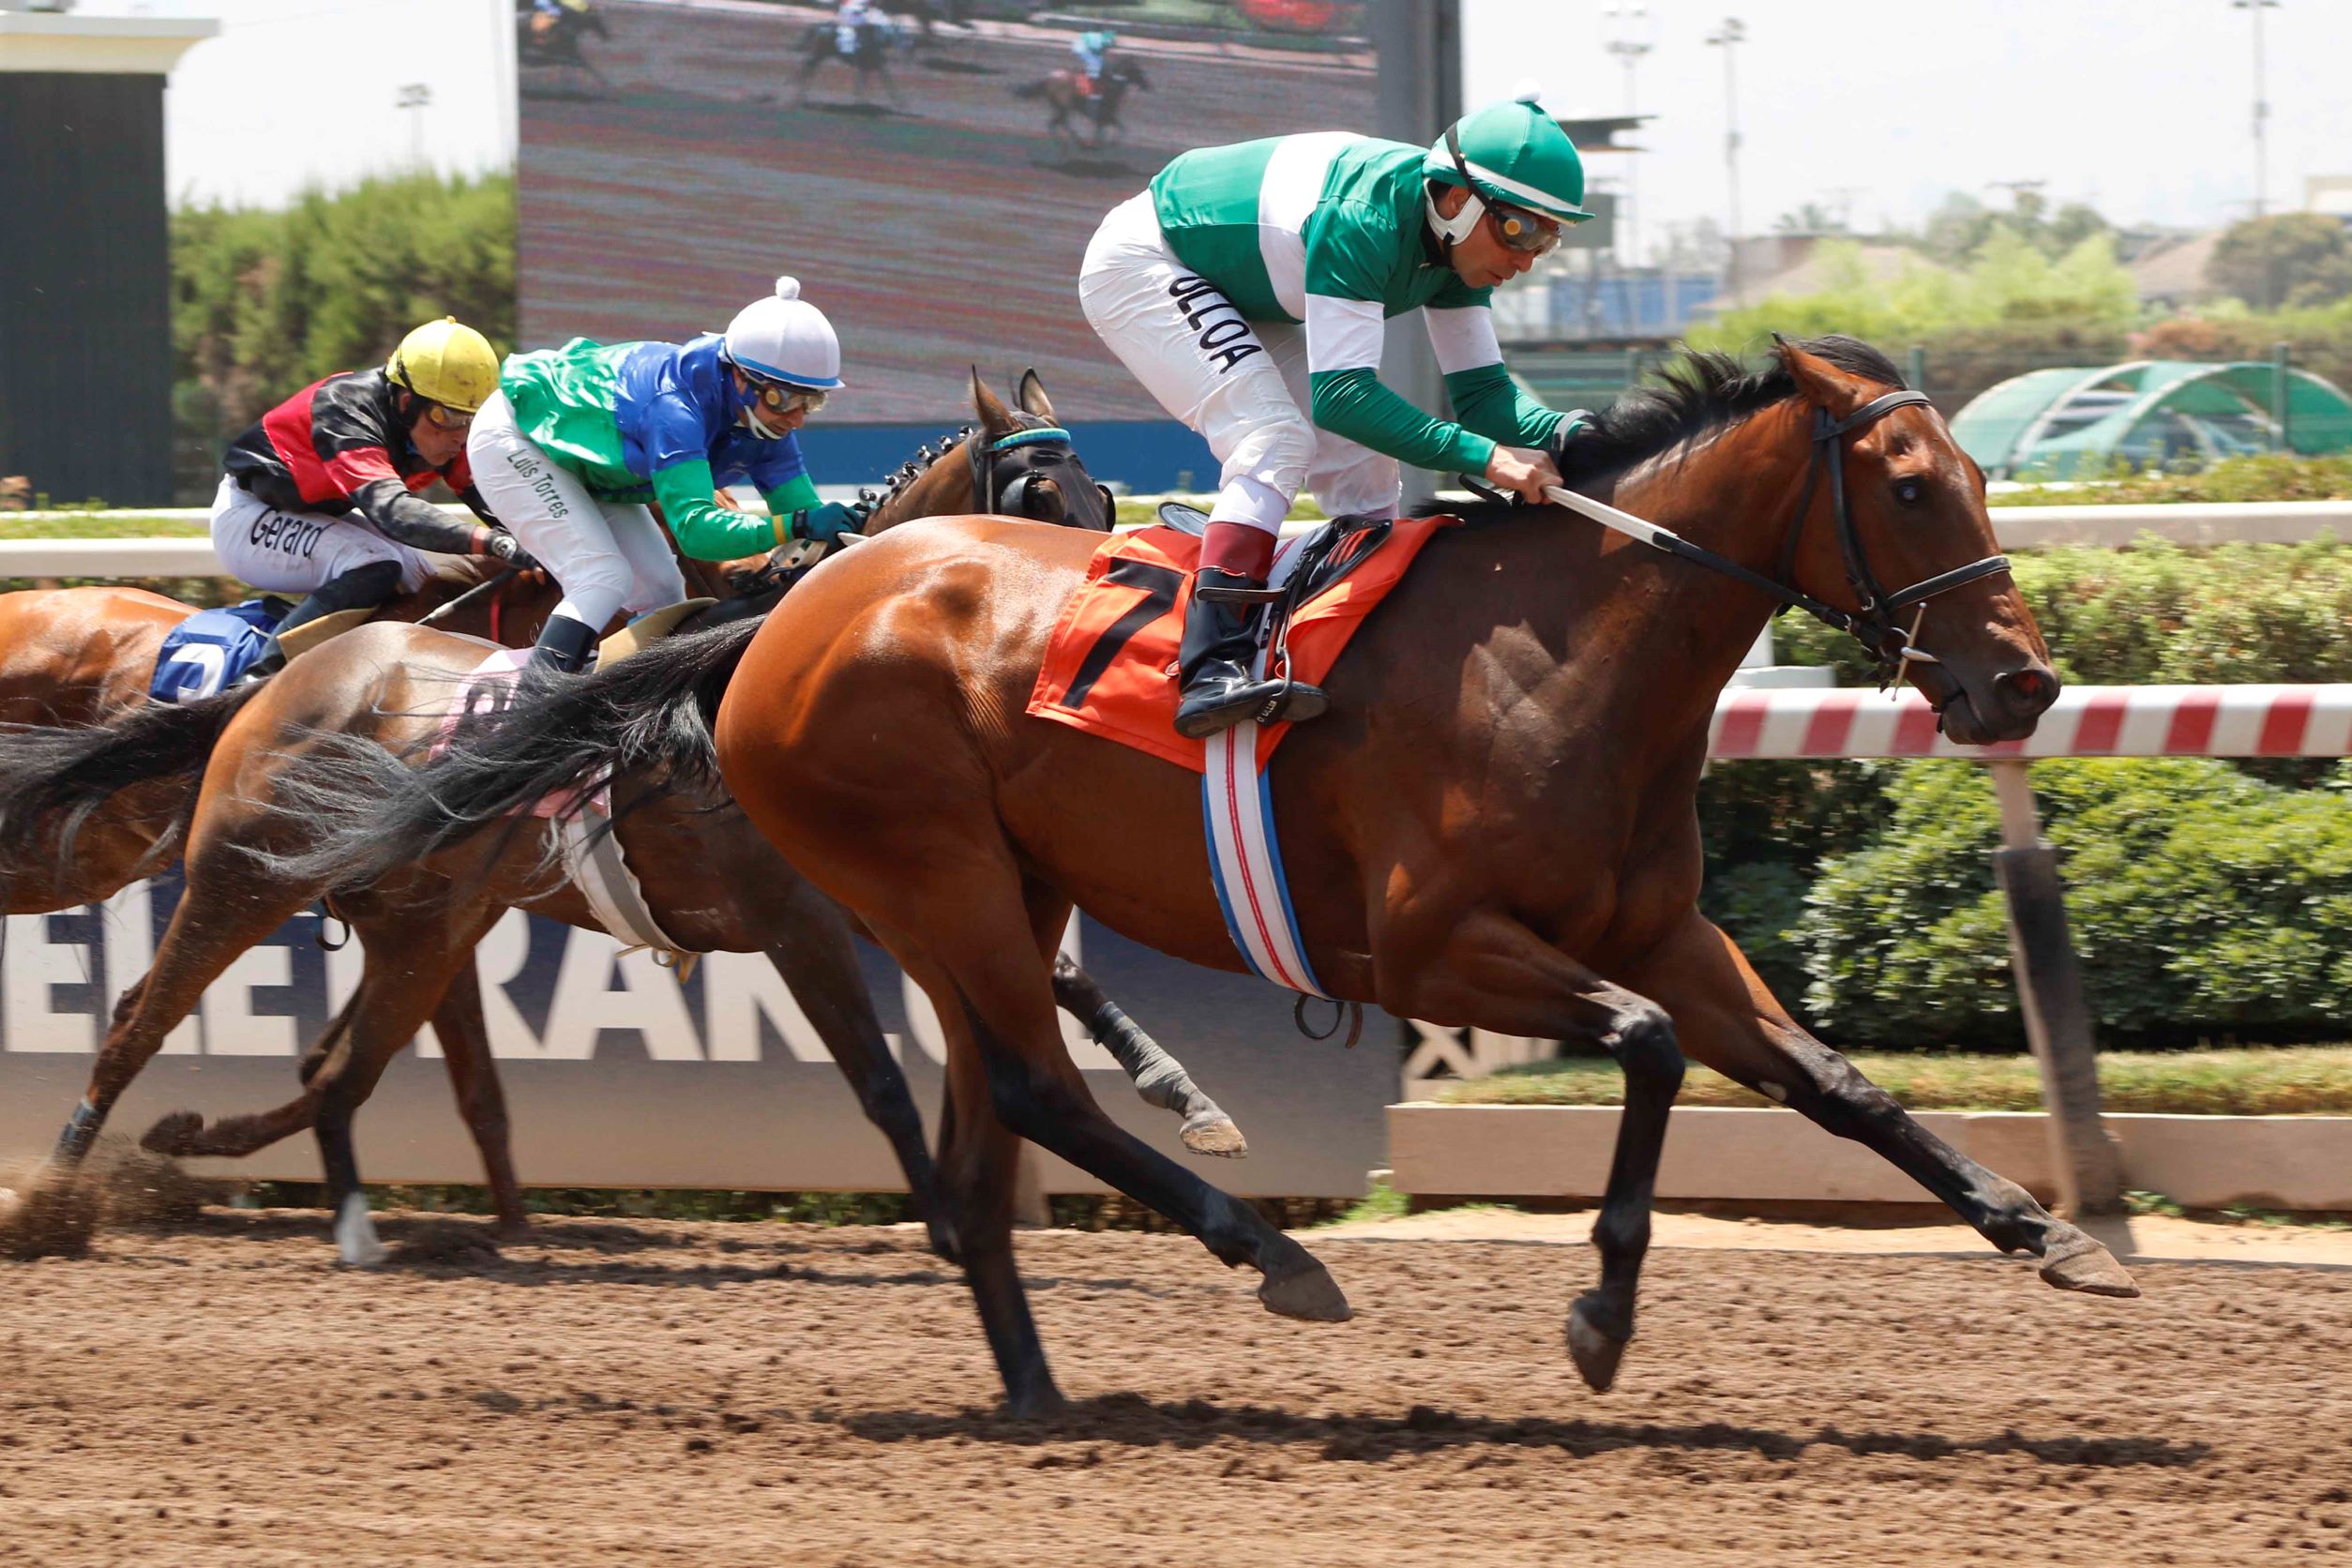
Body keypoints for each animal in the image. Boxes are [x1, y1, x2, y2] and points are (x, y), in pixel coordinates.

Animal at [0, 372, 1238, 1266]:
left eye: (1103, 502)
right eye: (1035, 499)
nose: (1094, 599)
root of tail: (266, 685)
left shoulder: (882, 892)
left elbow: (1061, 986)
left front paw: (1188, 1097)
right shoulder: (799, 915)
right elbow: (881, 1077)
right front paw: (946, 1220)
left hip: (419, 917)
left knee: (335, 1063)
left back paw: (238, 1167)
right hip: (236, 876)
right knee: (137, 1022)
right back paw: (53, 1198)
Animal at [395, 335, 2135, 1416]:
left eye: (1980, 477)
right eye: (1908, 487)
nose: (2019, 685)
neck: (1564, 658)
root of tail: (784, 615)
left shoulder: (1660, 929)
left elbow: (1831, 1080)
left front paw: (2051, 1237)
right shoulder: (1435, 950)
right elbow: (1644, 1049)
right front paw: (1596, 1318)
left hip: (989, 890)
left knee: (987, 1117)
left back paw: (1038, 1384)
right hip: (927, 876)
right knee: (1026, 1090)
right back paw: (1273, 1254)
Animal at [1014, 59, 1149, 149]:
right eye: (1138, 72)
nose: (1147, 85)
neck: (1112, 84)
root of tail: (1050, 77)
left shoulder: (1106, 116)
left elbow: (1118, 127)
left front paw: (1108, 143)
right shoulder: (1104, 115)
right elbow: (1114, 128)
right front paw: (1107, 143)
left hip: (1060, 107)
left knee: (1055, 123)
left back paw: (1068, 141)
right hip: (1064, 106)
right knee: (1060, 122)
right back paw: (1075, 141)